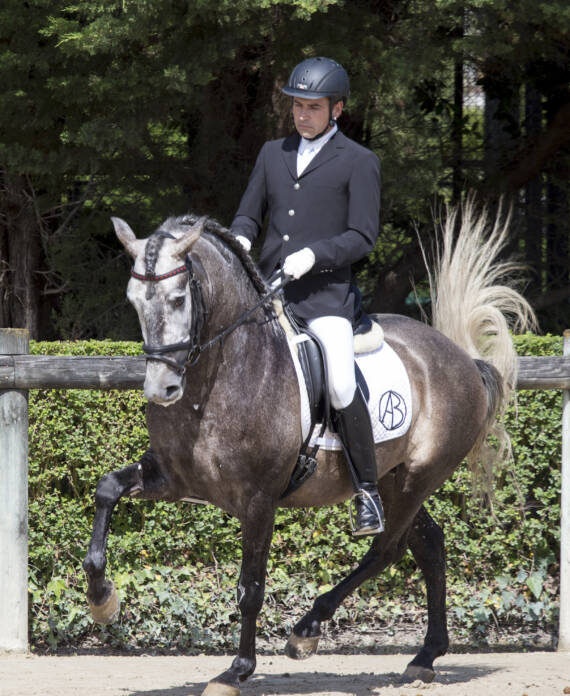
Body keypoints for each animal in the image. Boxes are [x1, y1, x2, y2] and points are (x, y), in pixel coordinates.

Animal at [82, 202, 534, 696]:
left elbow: (251, 587)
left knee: (387, 549)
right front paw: (102, 599)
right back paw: (424, 657)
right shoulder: (172, 477)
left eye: (180, 298)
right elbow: (106, 489)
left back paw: (307, 629)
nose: (162, 389)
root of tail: (463, 358)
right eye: (134, 300)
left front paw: (236, 670)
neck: (215, 379)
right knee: (429, 543)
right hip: (394, 479)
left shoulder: (259, 501)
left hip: (418, 478)